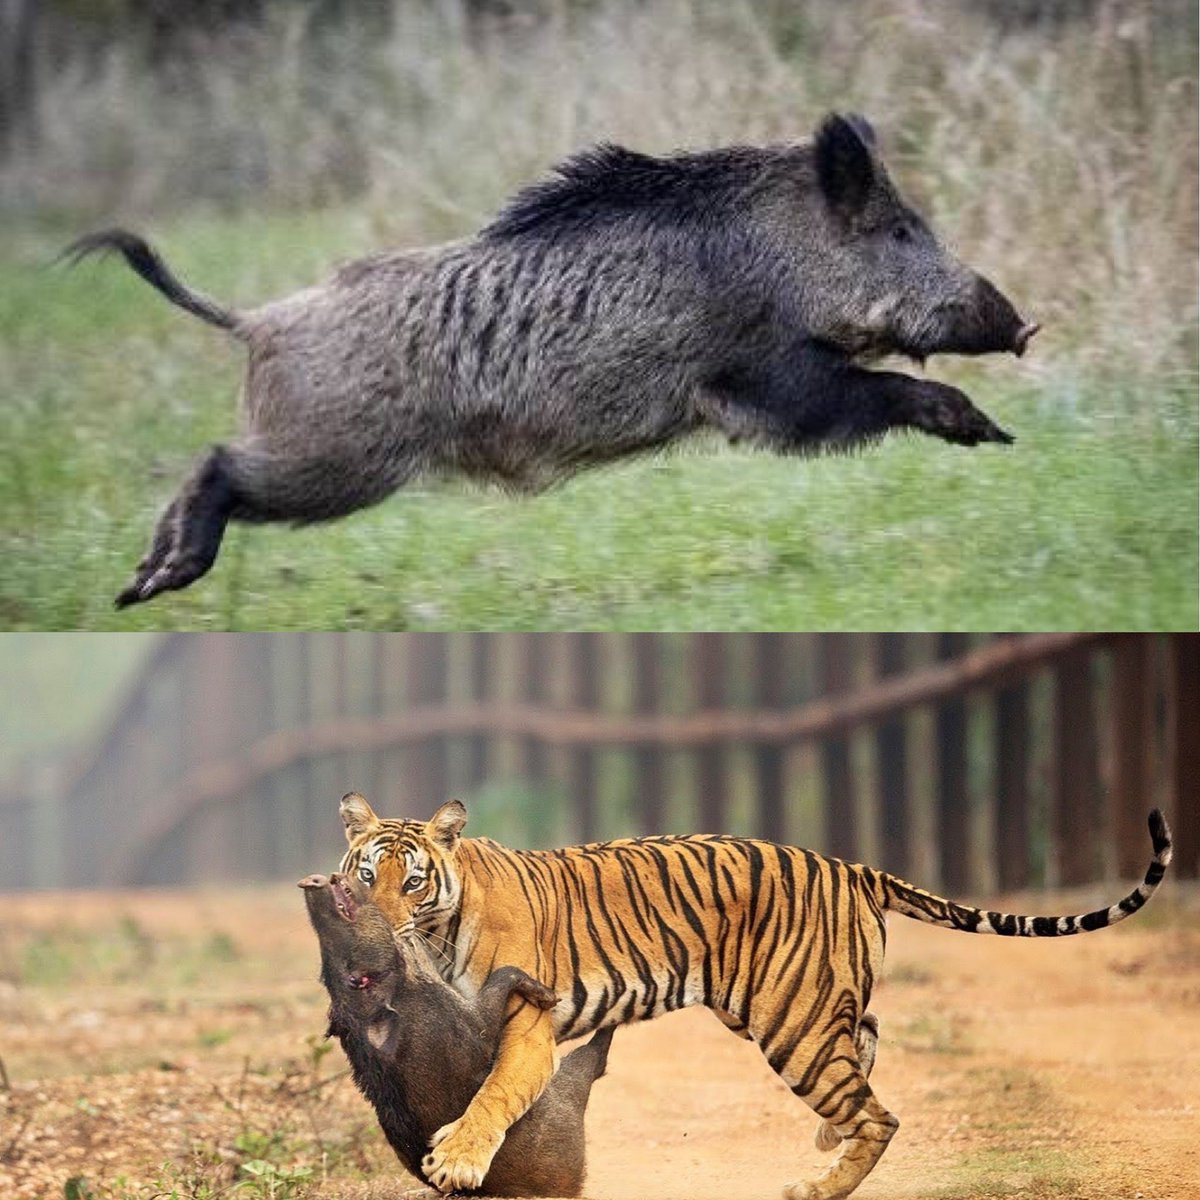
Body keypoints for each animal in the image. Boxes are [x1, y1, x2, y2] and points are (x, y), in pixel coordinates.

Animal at [337, 791, 1173, 1200]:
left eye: (410, 881)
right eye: (364, 873)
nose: (370, 918)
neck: (438, 928)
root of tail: (851, 867)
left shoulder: (529, 1024)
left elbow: (494, 1096)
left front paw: (458, 1163)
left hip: (789, 1022)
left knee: (879, 1111)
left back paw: (818, 1184)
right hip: (782, 1008)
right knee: (867, 1043)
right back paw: (829, 1141)